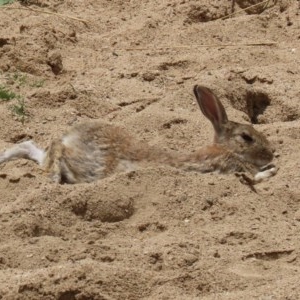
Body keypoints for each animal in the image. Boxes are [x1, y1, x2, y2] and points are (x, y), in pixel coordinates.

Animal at [0, 85, 276, 185]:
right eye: (246, 137)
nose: (272, 152)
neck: (226, 149)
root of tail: (72, 137)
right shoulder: (228, 168)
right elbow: (254, 177)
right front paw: (270, 170)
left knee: (31, 147)